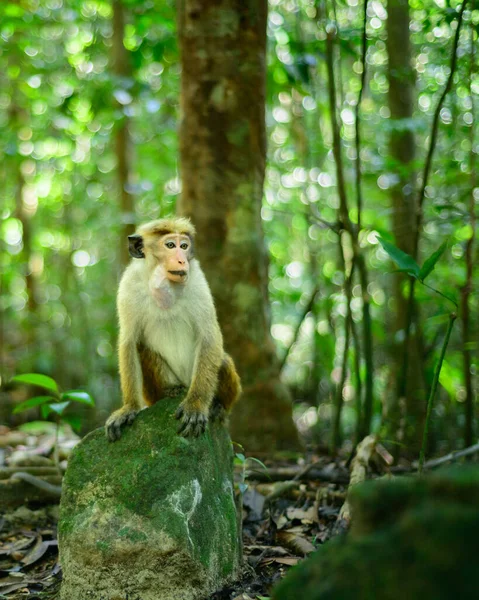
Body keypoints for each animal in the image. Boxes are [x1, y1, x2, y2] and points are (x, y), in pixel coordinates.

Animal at [104, 216, 240, 440]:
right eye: (170, 245)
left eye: (183, 246)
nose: (182, 260)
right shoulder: (129, 286)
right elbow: (129, 342)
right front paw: (129, 407)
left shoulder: (197, 281)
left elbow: (209, 337)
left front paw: (195, 405)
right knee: (141, 348)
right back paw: (170, 391)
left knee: (221, 359)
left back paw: (218, 406)